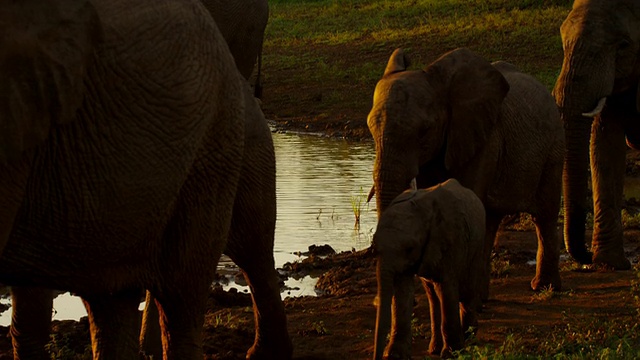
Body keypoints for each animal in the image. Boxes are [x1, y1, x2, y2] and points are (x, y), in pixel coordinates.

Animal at [364, 47, 564, 296]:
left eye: (424, 131)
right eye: (370, 128)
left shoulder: (484, 140)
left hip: (553, 147)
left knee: (544, 215)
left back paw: (544, 287)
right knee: (492, 218)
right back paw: (482, 297)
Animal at [370, 180, 484, 360]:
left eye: (410, 248)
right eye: (374, 249)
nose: (378, 356)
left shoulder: (451, 240)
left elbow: (447, 288)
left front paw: (452, 354)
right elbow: (402, 289)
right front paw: (395, 355)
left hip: (477, 245)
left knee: (466, 291)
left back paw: (468, 338)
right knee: (433, 295)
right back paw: (436, 349)